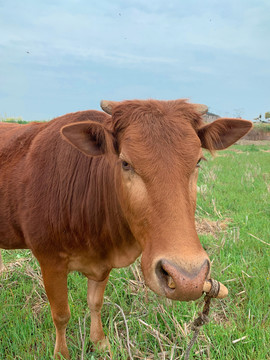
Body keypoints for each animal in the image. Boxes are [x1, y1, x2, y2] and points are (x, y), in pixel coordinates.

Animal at [0, 99, 252, 360]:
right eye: (125, 163)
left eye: (198, 162)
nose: (187, 278)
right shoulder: (50, 261)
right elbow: (61, 315)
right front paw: (61, 354)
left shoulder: (102, 262)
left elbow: (95, 303)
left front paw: (100, 343)